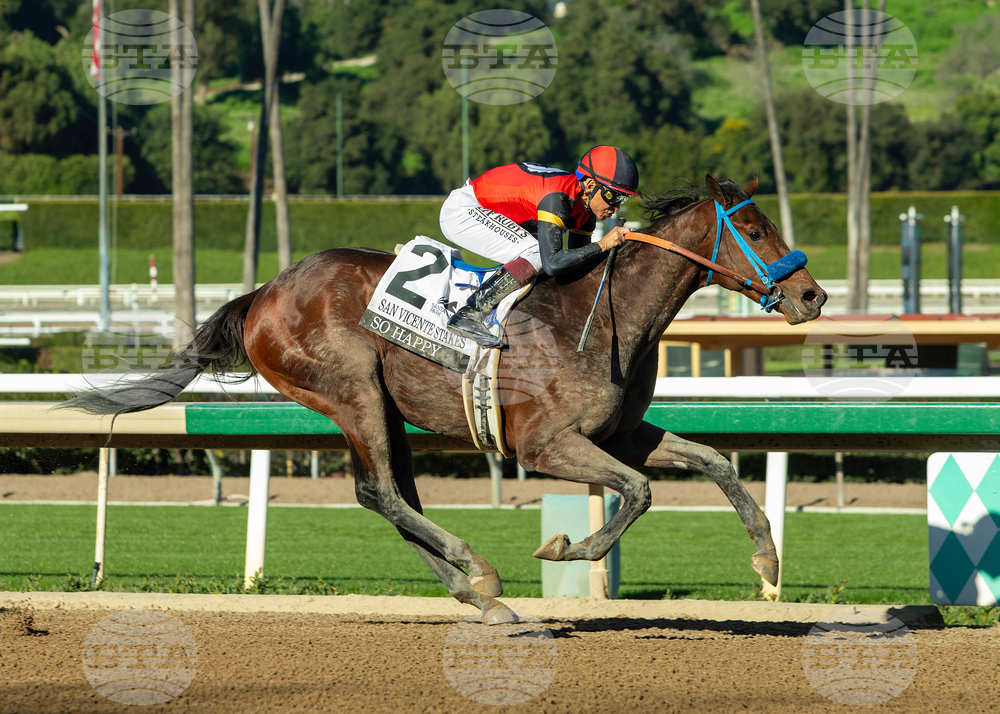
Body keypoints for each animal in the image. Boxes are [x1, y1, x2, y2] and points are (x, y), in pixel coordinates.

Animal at [63, 173, 827, 624]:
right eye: (753, 229)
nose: (812, 295)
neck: (599, 315)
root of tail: (264, 293)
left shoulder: (614, 433)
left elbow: (714, 461)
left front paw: (767, 561)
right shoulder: (545, 443)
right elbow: (639, 492)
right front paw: (566, 548)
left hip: (380, 407)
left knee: (391, 496)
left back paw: (476, 594)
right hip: (353, 390)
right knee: (382, 492)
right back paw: (481, 572)